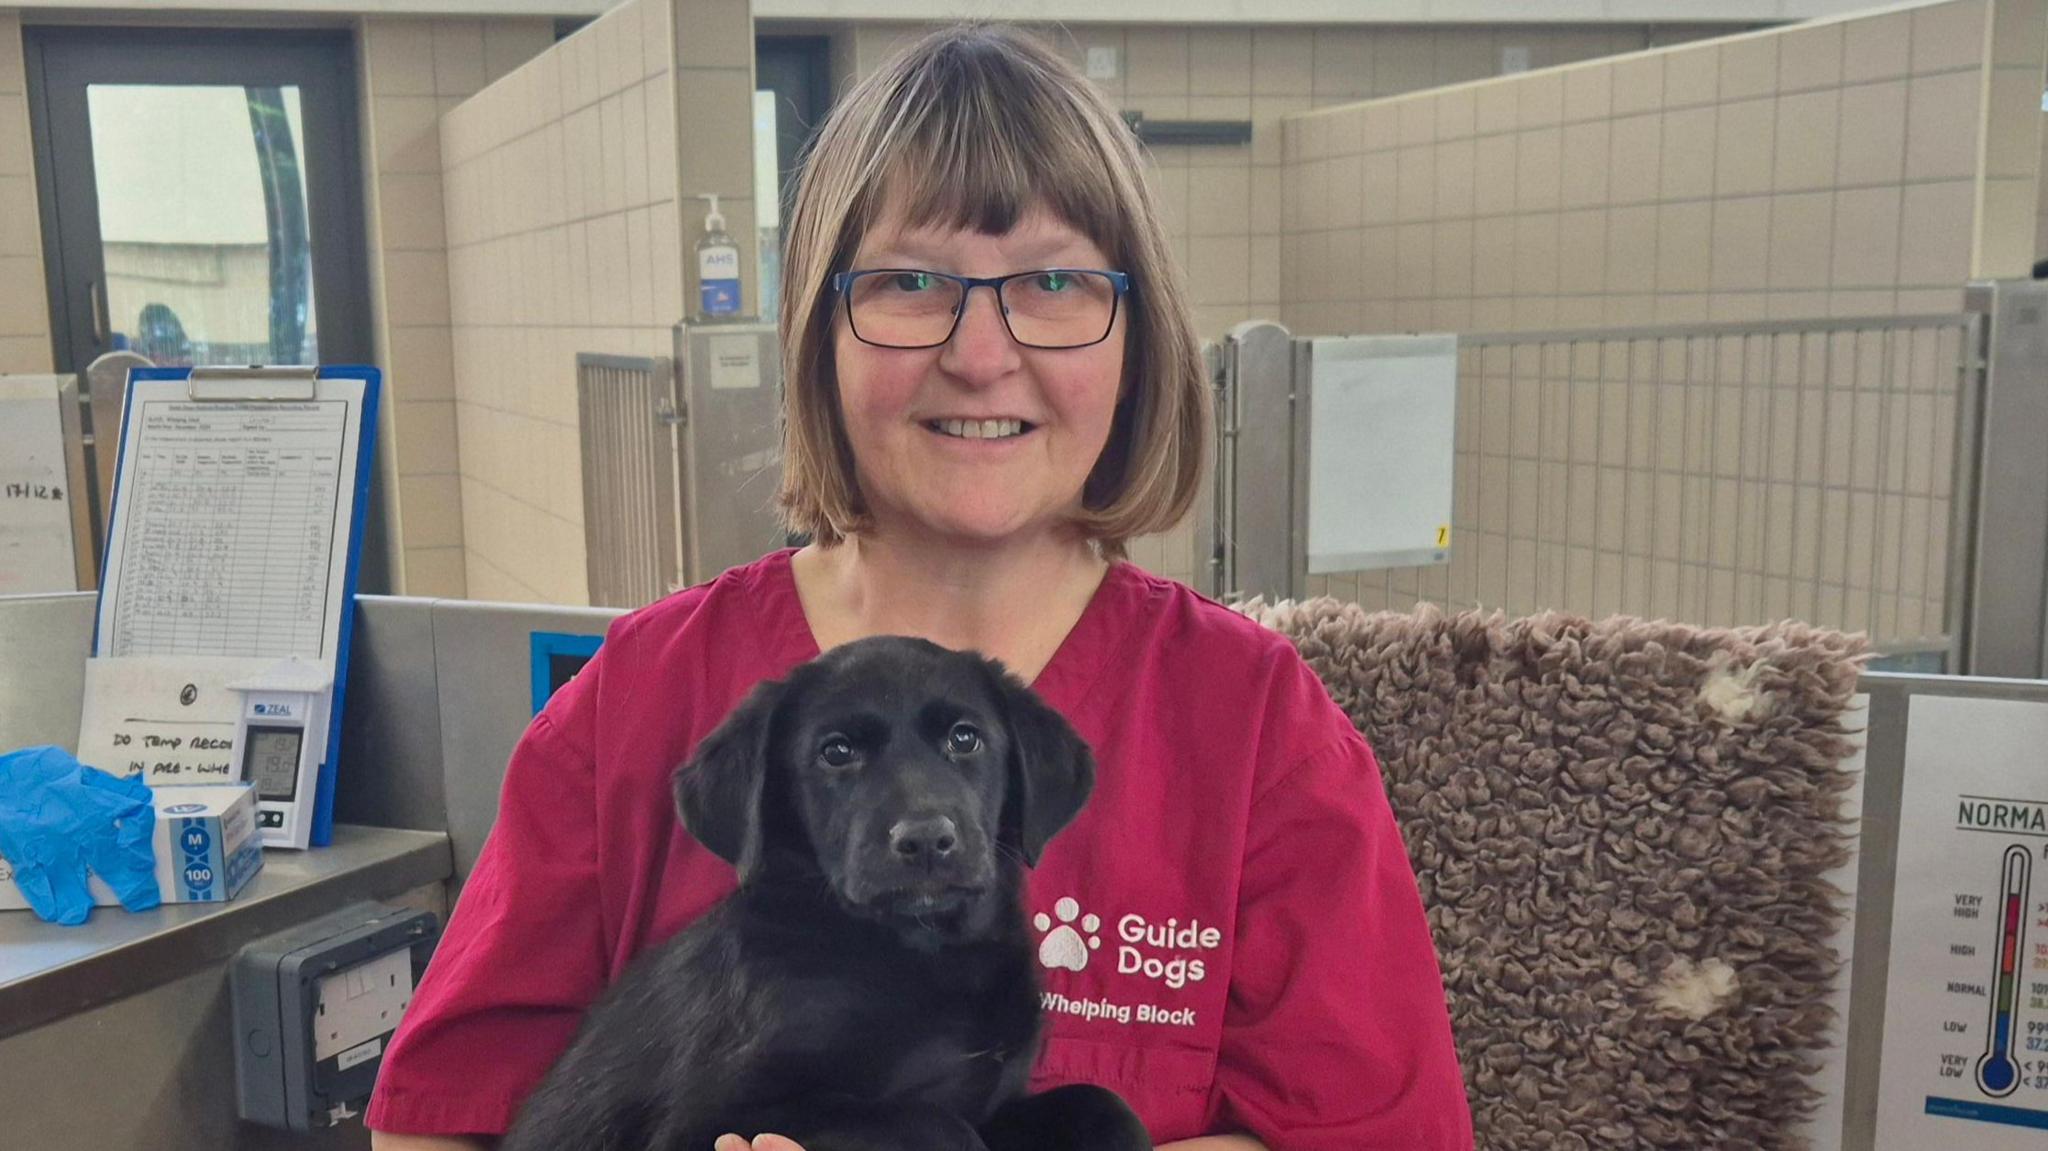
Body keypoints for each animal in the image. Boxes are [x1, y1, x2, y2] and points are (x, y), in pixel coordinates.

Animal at [499, 630, 1155, 1146]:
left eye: (965, 738)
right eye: (836, 752)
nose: (925, 840)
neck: (925, 955)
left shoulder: (998, 1103)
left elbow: (1104, 1104)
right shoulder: (708, 1122)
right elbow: (927, 1123)